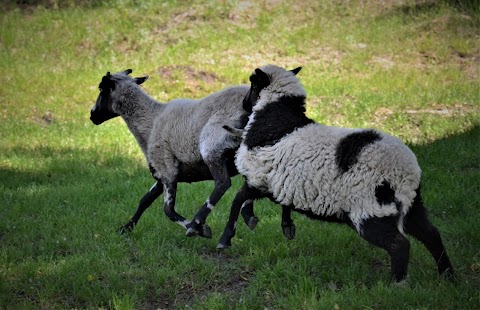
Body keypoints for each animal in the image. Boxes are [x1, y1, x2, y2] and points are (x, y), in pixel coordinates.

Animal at [91, 69, 260, 237]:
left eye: (101, 89)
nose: (92, 115)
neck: (151, 120)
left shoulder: (167, 169)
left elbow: (168, 210)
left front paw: (200, 229)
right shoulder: (161, 173)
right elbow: (145, 200)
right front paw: (126, 228)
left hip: (213, 143)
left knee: (223, 183)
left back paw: (197, 222)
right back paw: (248, 215)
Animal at [219, 63, 456, 284]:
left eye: (253, 84)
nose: (244, 104)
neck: (275, 120)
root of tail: (407, 173)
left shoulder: (258, 178)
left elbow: (237, 199)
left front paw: (226, 238)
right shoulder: (278, 180)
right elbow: (278, 201)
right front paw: (287, 226)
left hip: (371, 209)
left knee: (400, 244)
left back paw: (397, 284)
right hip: (413, 204)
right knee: (432, 234)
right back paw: (448, 277)